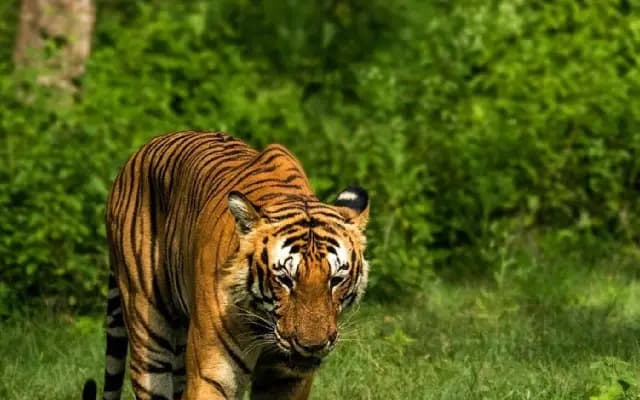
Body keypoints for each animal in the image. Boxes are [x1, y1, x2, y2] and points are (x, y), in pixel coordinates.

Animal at [82, 131, 370, 400]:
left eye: (336, 280)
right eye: (285, 280)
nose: (312, 346)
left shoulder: (287, 379)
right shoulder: (212, 372)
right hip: (148, 333)